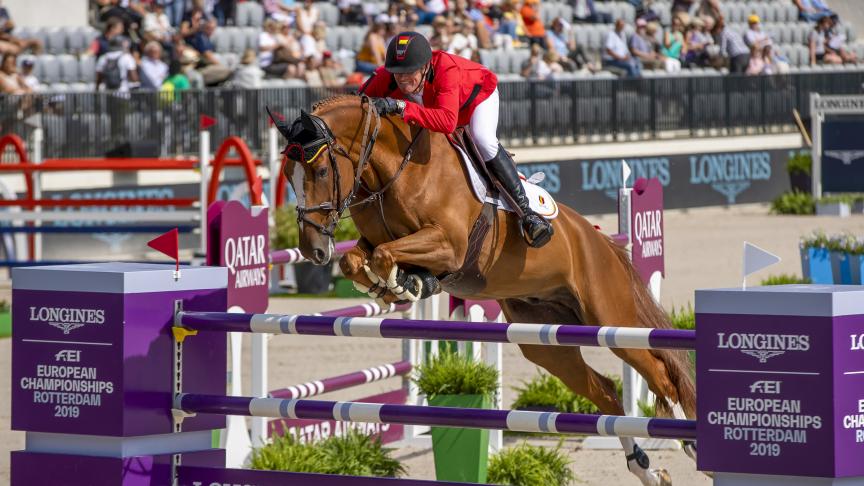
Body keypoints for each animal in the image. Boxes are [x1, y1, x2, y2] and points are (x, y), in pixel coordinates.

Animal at [274, 95, 700, 486]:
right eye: (288, 176)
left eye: (322, 170)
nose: (313, 249)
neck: (395, 170)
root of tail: (599, 241)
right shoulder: (376, 241)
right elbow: (357, 259)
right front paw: (394, 285)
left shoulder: (449, 244)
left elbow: (384, 254)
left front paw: (405, 282)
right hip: (546, 343)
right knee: (605, 391)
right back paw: (645, 469)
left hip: (610, 319)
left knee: (660, 374)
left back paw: (688, 441)